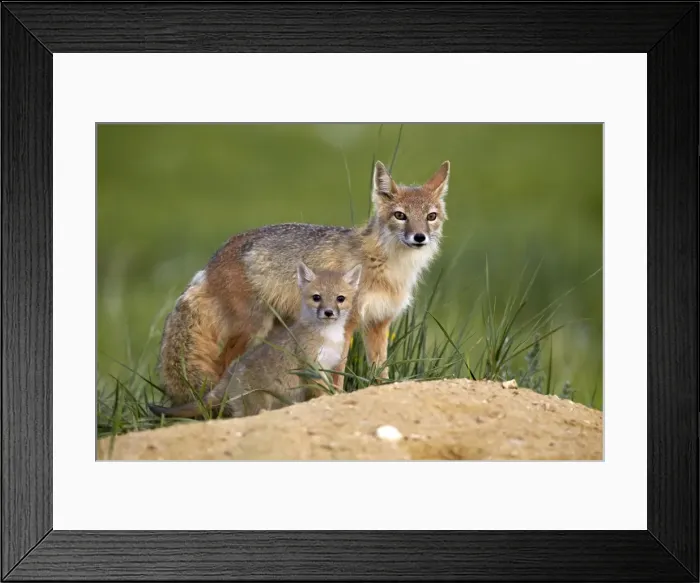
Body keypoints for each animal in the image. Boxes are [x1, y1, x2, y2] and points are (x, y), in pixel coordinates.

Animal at [148, 262, 363, 419]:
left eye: (340, 298)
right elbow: (322, 393)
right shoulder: (311, 368)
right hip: (258, 404)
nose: (328, 313)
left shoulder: (330, 366)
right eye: (316, 297)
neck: (327, 336)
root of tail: (228, 377)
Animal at [157, 159, 450, 405]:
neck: (388, 267)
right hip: (252, 329)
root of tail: (211, 261)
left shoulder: (379, 324)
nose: (419, 237)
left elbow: (381, 373)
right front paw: (335, 398)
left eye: (431, 216)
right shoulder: (347, 326)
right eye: (400, 216)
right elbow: (339, 373)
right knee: (223, 365)